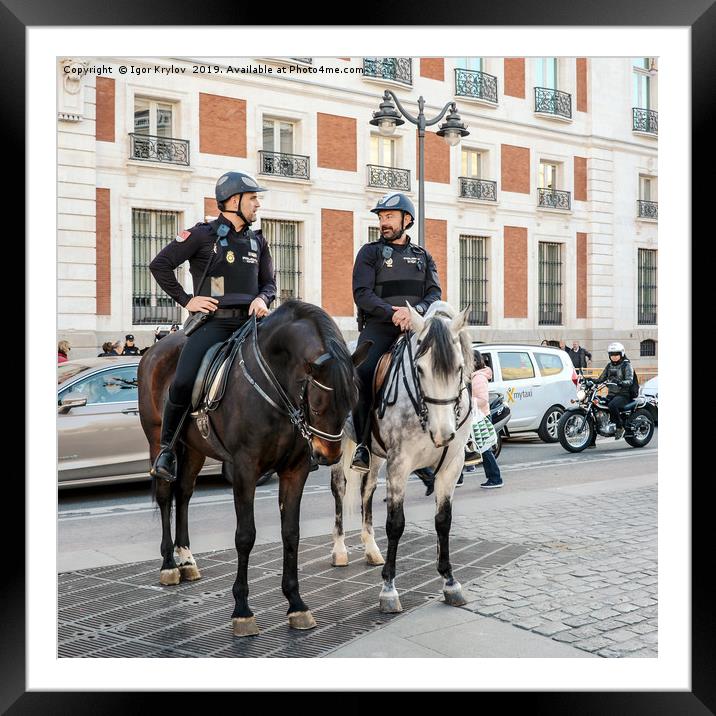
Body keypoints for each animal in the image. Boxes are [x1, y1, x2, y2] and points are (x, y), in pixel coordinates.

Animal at [137, 300, 370, 636]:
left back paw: (186, 558)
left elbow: (291, 533)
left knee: (184, 494)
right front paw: (242, 610)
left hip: (194, 449)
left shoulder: (295, 470)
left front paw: (296, 604)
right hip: (159, 440)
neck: (276, 385)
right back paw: (169, 563)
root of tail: (155, 348)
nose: (328, 455)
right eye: (317, 403)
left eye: (353, 398)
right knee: (167, 493)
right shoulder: (244, 469)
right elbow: (245, 535)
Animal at [330, 300, 476, 612]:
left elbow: (443, 520)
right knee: (340, 489)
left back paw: (371, 548)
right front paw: (388, 589)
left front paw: (450, 581)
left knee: (367, 491)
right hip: (337, 445)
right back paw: (339, 550)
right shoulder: (399, 464)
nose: (443, 433)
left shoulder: (451, 466)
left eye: (459, 367)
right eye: (419, 369)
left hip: (374, 455)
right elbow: (395, 524)